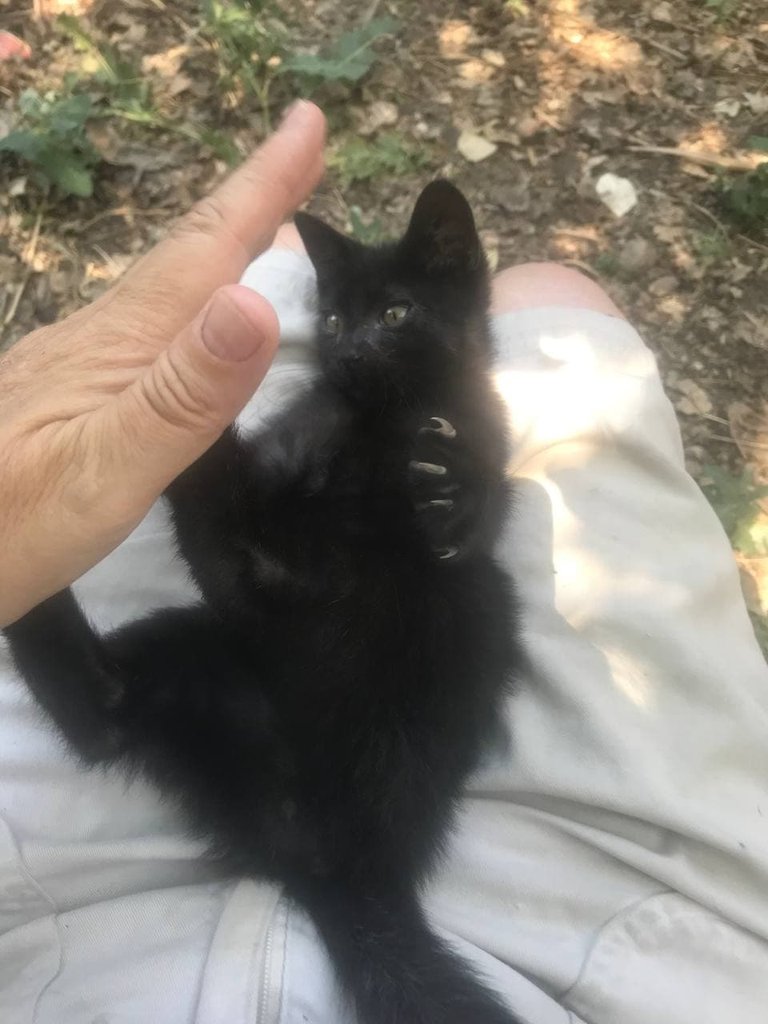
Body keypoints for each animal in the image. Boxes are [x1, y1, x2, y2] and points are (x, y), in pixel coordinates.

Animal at [3, 182, 524, 1024]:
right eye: (336, 319)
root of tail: (316, 860)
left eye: (397, 312)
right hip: (208, 663)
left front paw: (455, 490)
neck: (367, 421)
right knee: (113, 709)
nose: (349, 351)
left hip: (466, 616)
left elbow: (477, 501)